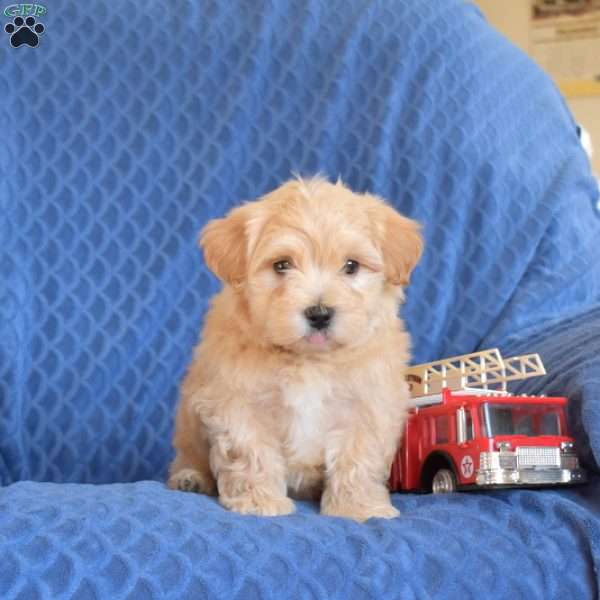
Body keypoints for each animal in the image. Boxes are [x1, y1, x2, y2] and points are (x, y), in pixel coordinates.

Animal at [168, 175, 422, 520]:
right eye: (282, 265)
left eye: (351, 266)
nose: (319, 313)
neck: (309, 360)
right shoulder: (237, 401)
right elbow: (251, 451)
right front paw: (259, 501)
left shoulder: (368, 403)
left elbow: (358, 456)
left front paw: (358, 507)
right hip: (189, 425)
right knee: (189, 455)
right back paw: (190, 478)